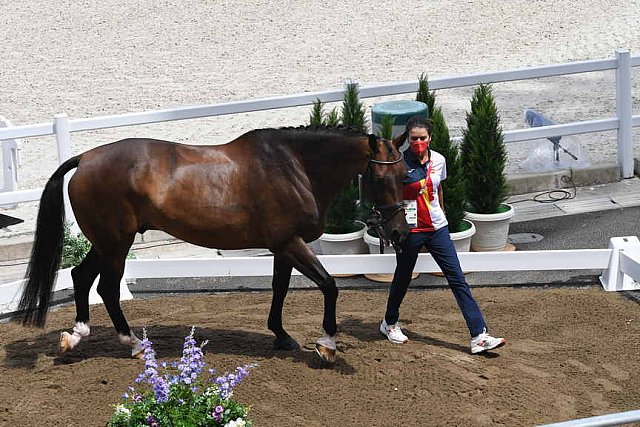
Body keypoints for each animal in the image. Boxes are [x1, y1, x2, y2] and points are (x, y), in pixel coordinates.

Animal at [12, 125, 408, 362]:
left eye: (405, 174)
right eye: (379, 177)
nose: (398, 232)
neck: (294, 167)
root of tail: (85, 158)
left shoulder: (282, 246)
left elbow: (280, 289)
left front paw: (281, 336)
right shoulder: (291, 243)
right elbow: (328, 285)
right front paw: (326, 345)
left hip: (107, 242)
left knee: (80, 276)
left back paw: (76, 336)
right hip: (116, 243)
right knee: (106, 287)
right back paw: (136, 345)